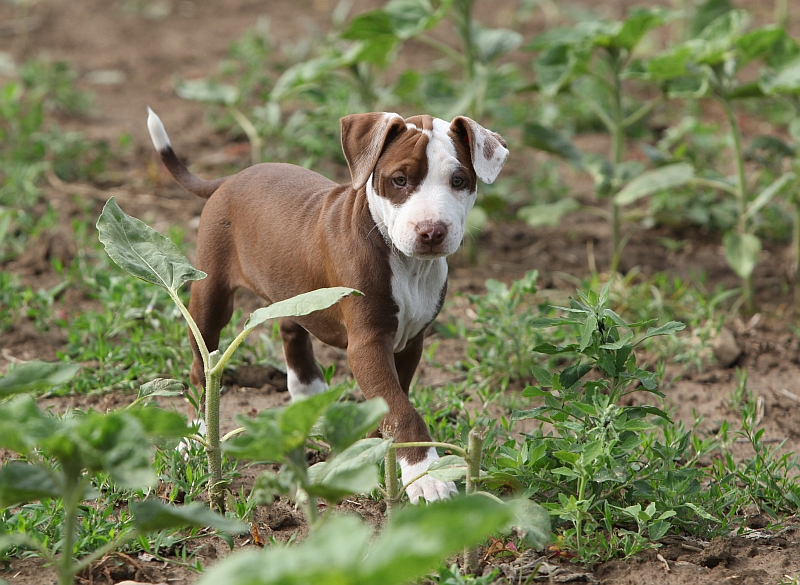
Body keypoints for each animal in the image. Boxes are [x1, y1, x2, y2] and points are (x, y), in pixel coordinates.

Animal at [145, 109, 506, 502]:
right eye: (399, 179)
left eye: (459, 180)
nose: (432, 231)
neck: (408, 265)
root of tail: (230, 178)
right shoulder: (367, 345)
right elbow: (403, 411)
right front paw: (426, 477)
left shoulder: (411, 341)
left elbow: (394, 400)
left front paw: (371, 453)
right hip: (210, 295)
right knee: (203, 367)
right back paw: (194, 436)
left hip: (295, 290)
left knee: (290, 327)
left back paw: (308, 392)